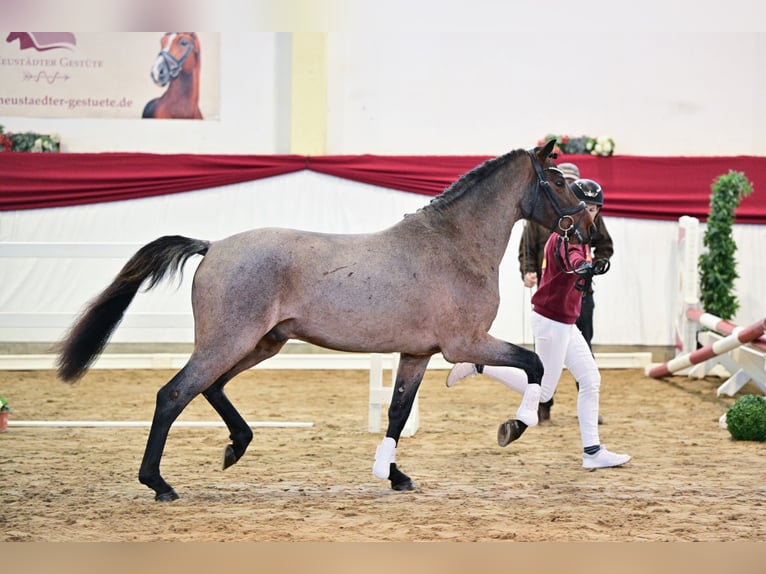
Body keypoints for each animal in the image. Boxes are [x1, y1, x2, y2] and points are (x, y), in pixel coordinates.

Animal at [57, 141, 592, 504]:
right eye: (558, 182)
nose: (587, 228)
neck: (452, 245)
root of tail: (213, 247)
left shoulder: (418, 353)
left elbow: (397, 412)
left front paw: (394, 475)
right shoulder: (466, 344)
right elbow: (535, 366)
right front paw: (514, 427)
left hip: (261, 343)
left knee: (211, 388)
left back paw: (235, 448)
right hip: (230, 341)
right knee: (174, 394)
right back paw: (160, 483)